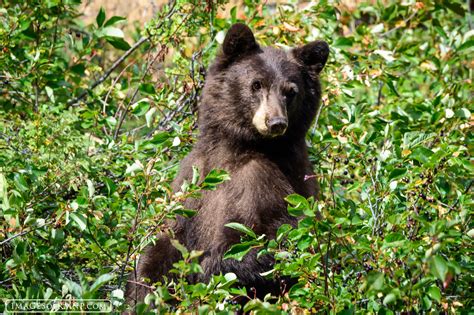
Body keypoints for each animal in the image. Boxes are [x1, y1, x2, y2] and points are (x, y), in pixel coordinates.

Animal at [126, 23, 330, 310]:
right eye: (256, 84)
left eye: (291, 92)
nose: (275, 122)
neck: (237, 148)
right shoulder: (191, 179)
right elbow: (166, 241)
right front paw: (143, 292)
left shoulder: (266, 180)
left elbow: (278, 238)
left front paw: (205, 273)